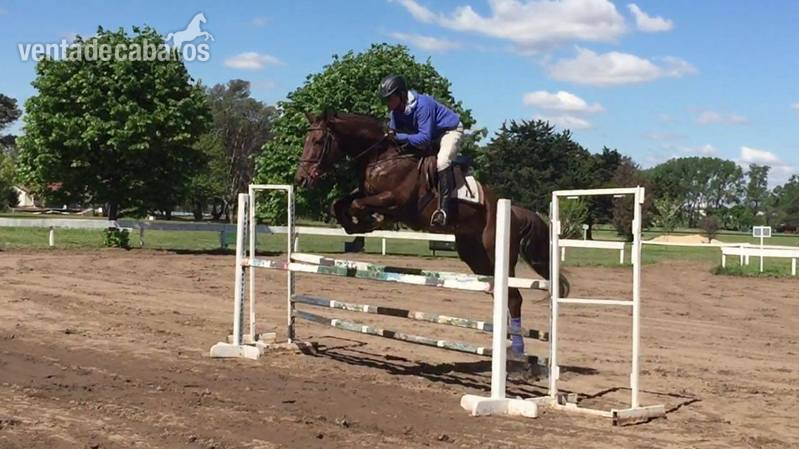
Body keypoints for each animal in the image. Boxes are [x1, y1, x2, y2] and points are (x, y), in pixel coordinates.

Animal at [294, 111, 570, 358]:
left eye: (317, 141)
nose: (300, 179)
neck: (381, 157)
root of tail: (514, 211)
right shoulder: (367, 194)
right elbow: (340, 204)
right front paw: (355, 228)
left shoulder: (394, 201)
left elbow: (357, 205)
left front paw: (369, 222)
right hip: (475, 256)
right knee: (498, 293)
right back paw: (507, 342)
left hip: (497, 253)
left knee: (513, 298)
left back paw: (519, 353)